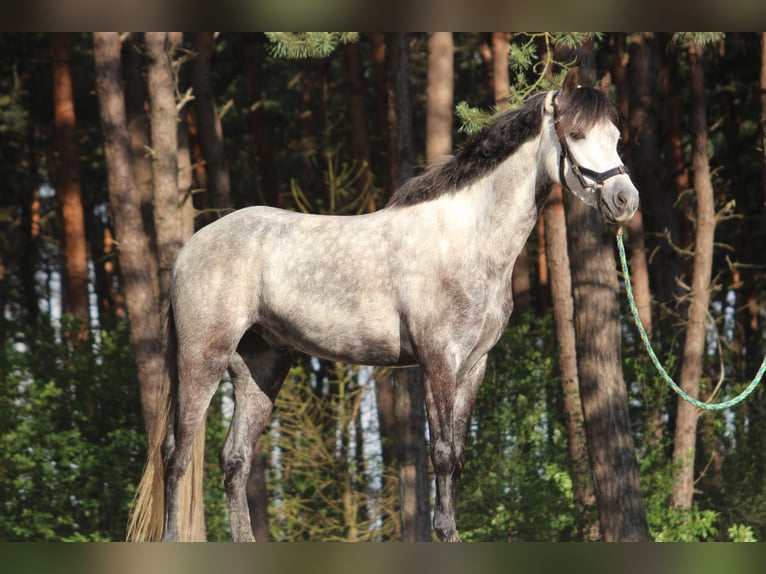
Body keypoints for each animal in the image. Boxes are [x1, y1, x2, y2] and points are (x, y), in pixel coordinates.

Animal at [126, 68, 639, 542]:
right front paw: (445, 532)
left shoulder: (474, 366)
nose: (625, 200)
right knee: (176, 453)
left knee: (234, 459)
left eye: (615, 137)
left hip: (261, 369)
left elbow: (458, 456)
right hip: (201, 360)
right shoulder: (438, 361)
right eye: (577, 135)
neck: (466, 238)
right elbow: (442, 454)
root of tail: (189, 250)